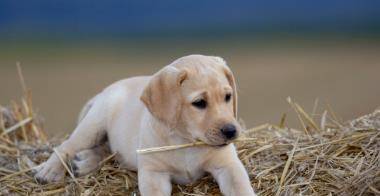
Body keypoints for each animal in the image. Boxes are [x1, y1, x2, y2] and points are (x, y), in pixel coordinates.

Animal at [35, 54, 255, 195]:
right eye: (199, 103)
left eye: (228, 97)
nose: (231, 131)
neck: (184, 141)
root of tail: (105, 91)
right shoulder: (154, 174)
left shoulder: (228, 165)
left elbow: (241, 188)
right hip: (93, 125)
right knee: (66, 146)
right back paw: (50, 170)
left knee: (108, 151)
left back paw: (85, 162)